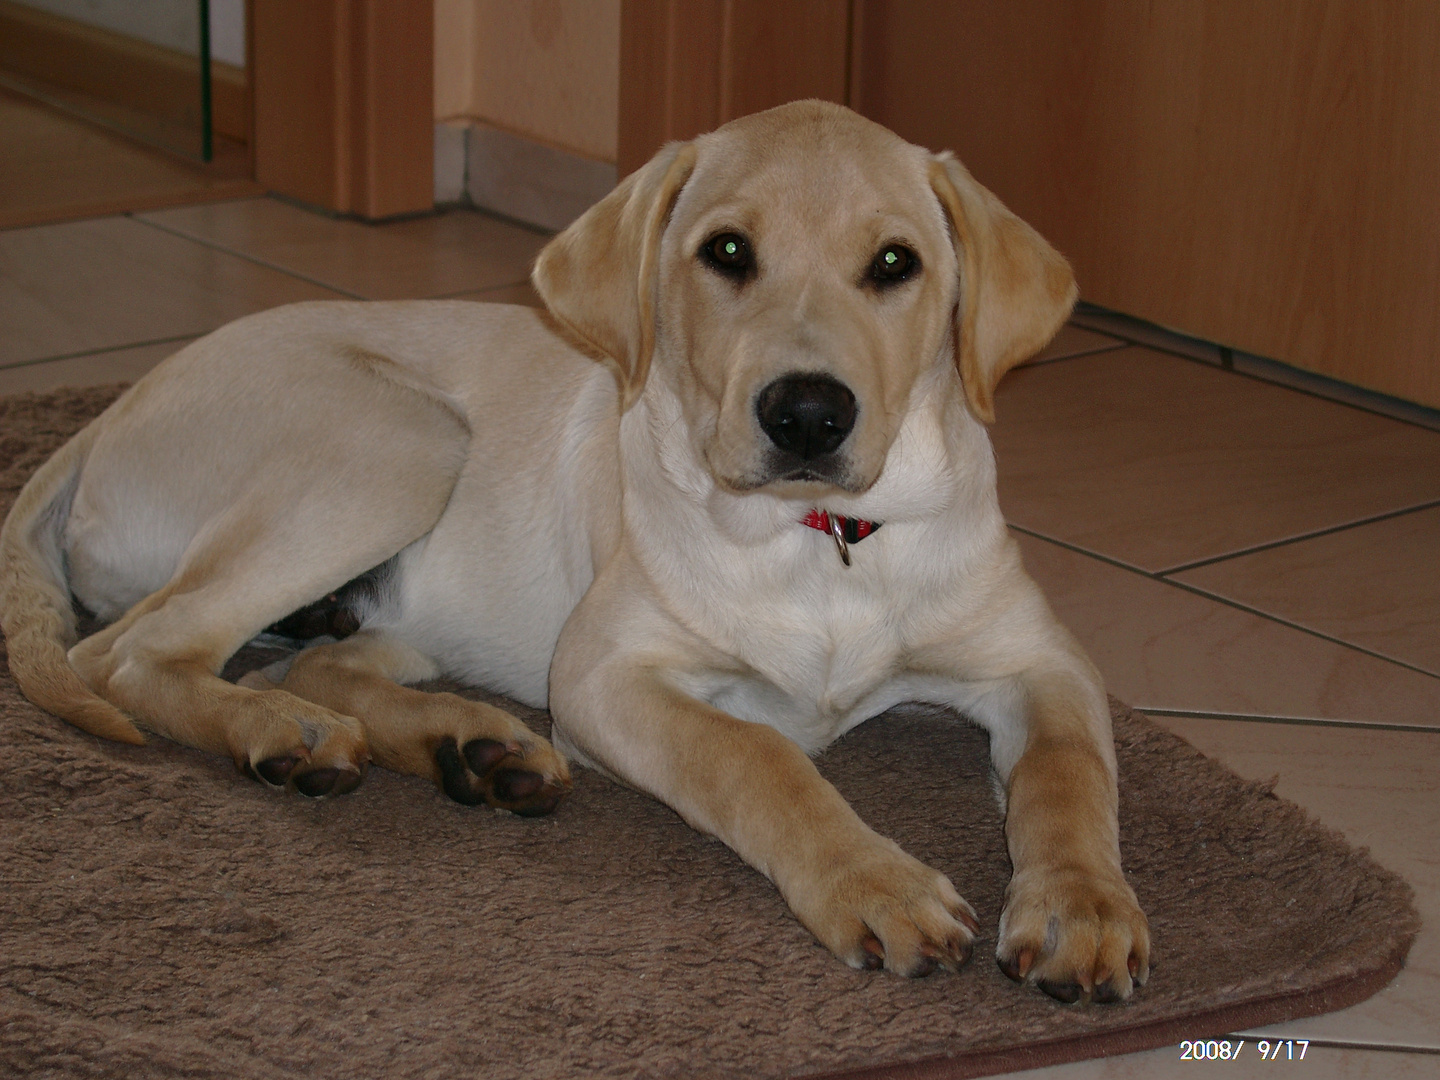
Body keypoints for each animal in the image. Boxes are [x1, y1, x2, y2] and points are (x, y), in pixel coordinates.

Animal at [0, 103, 1146, 1008]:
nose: (808, 415)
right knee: (131, 654)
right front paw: (876, 884)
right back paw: (291, 737)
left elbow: (1068, 770)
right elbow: (754, 755)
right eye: (728, 253)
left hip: (402, 579)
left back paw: (473, 747)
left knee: (315, 657)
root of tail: (110, 414)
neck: (817, 541)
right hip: (399, 439)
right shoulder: (602, 674)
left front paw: (1084, 912)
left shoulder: (1042, 661)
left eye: (897, 263)